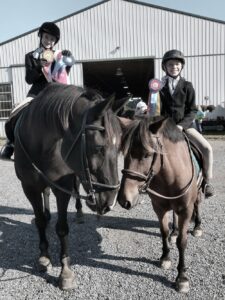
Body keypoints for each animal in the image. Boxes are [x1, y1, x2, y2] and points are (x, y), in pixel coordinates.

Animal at [13, 83, 127, 290]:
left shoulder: (62, 188)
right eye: (99, 147)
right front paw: (44, 257)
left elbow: (62, 228)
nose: (110, 202)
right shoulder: (29, 187)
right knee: (45, 195)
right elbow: (40, 221)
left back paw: (80, 213)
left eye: (119, 148)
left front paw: (65, 271)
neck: (40, 144)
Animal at [118, 116, 203, 292]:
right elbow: (164, 232)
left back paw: (197, 226)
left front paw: (182, 277)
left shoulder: (186, 210)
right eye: (124, 153)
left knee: (198, 204)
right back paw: (175, 231)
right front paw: (165, 257)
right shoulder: (159, 207)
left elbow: (182, 242)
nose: (124, 200)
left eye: (147, 155)